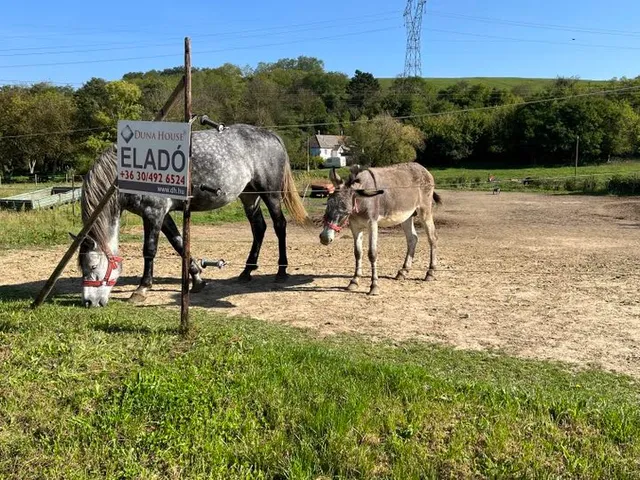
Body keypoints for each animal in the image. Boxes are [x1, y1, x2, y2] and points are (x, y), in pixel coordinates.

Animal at [77, 124, 308, 308]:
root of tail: (271, 135)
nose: (89, 302)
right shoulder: (162, 215)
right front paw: (197, 279)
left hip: (270, 194)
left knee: (279, 225)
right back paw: (246, 273)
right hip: (249, 197)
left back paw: (281, 271)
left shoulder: (154, 213)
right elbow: (179, 244)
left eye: (93, 266)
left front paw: (141, 289)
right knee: (259, 228)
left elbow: (149, 250)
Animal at [318, 163, 440, 294]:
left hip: (424, 210)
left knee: (432, 238)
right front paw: (354, 281)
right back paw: (403, 271)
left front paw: (374, 286)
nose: (324, 238)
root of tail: (422, 168)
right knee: (412, 238)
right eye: (328, 204)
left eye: (346, 210)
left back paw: (430, 273)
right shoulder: (355, 226)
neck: (361, 200)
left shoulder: (372, 223)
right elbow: (357, 253)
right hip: (406, 215)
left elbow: (372, 253)